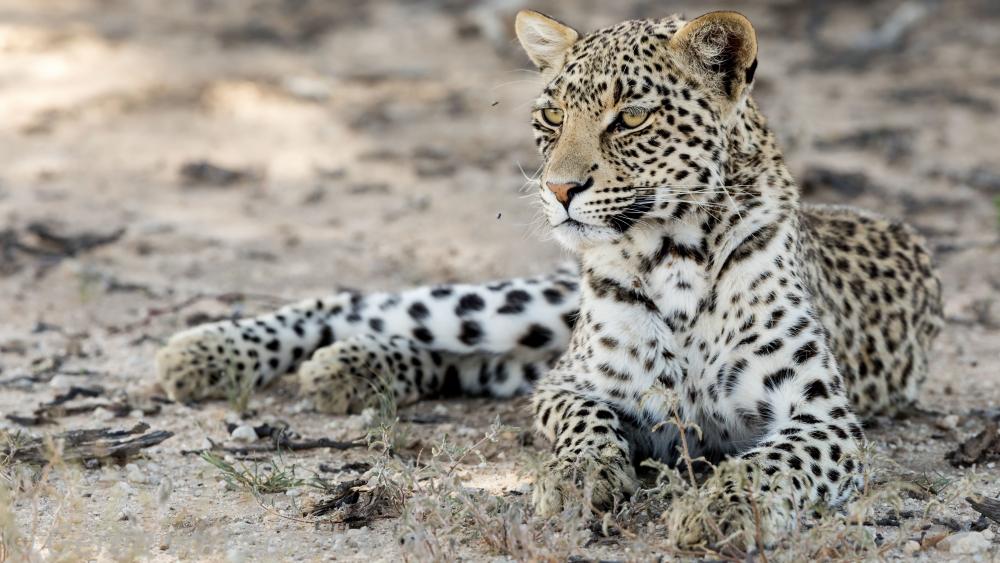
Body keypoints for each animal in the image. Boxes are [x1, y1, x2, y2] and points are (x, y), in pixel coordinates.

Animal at [156, 9, 942, 537]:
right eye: (552, 115)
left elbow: (769, 462)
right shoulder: (577, 384)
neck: (674, 254)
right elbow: (586, 422)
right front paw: (577, 478)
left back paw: (346, 370)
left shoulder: (823, 419)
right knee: (368, 304)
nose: (559, 189)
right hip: (531, 307)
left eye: (631, 118)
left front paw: (722, 506)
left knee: (471, 360)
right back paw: (206, 352)